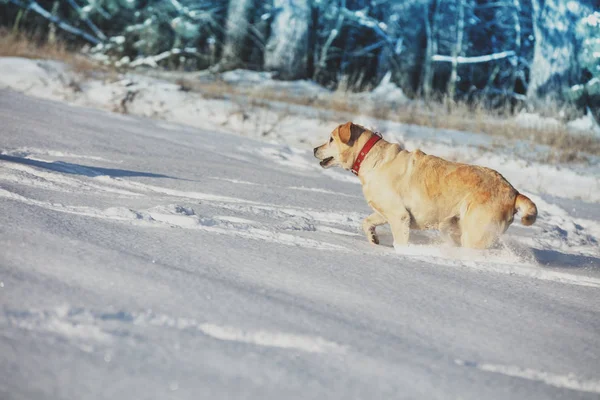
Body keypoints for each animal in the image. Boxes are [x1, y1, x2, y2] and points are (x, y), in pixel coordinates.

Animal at [314, 120, 540, 248]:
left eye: (331, 139)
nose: (315, 149)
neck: (369, 156)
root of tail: (513, 192)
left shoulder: (399, 216)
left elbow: (400, 241)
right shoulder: (386, 211)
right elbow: (366, 222)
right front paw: (373, 239)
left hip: (475, 232)